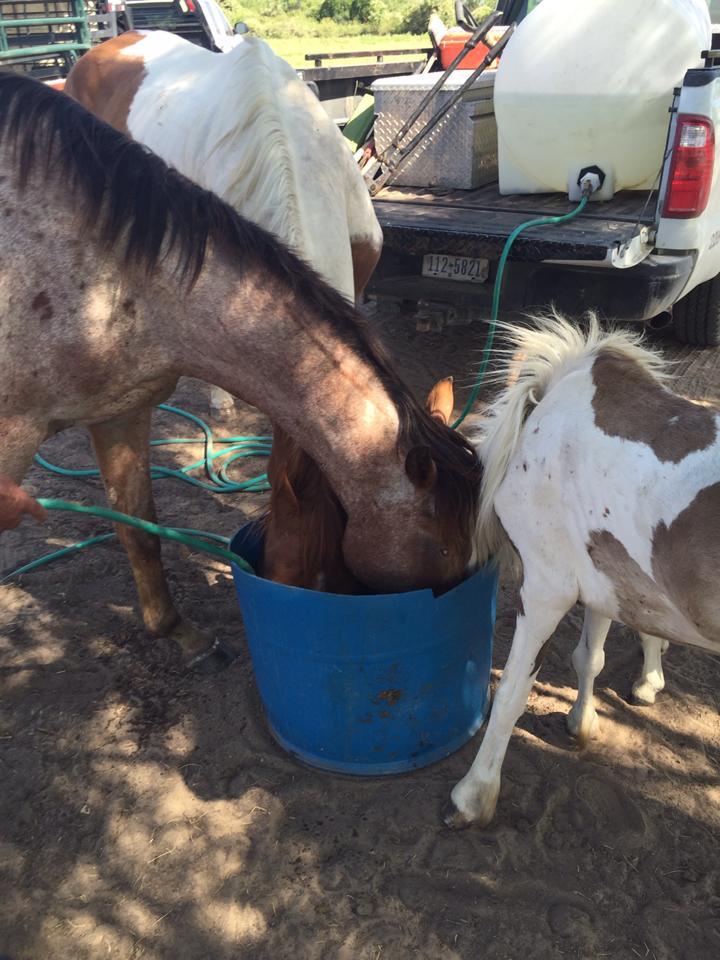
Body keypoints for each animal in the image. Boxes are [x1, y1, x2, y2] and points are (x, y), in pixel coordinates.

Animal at [450, 318, 720, 828]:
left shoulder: (546, 589)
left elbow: (512, 691)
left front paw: (473, 795)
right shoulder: (608, 579)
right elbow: (590, 656)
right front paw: (582, 723)